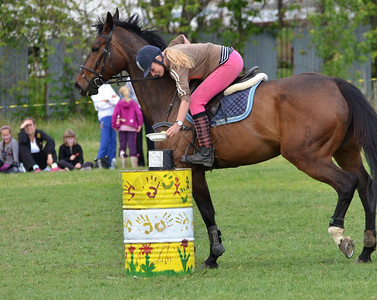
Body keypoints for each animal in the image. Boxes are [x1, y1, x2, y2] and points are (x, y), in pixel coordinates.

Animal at [74, 9, 376, 268]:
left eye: (95, 48)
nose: (79, 84)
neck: (168, 94)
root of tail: (336, 82)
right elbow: (207, 209)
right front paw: (213, 254)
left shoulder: (189, 167)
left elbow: (207, 210)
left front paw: (213, 256)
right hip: (344, 150)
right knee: (365, 184)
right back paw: (366, 249)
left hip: (307, 156)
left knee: (347, 184)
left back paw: (341, 237)